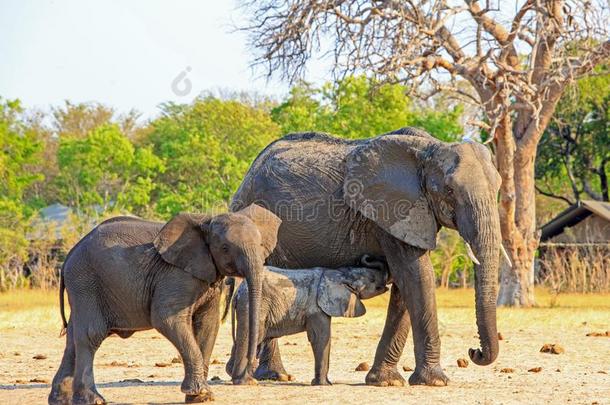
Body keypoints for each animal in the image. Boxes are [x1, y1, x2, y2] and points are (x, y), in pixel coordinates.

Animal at [48, 204, 282, 404]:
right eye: (225, 248)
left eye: (262, 245)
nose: (250, 375)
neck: (206, 222)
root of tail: (70, 254)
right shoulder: (175, 274)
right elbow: (166, 319)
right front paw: (201, 393)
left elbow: (208, 325)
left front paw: (200, 397)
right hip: (86, 283)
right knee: (91, 335)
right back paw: (93, 400)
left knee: (72, 339)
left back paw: (60, 400)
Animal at [226, 256, 388, 386]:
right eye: (372, 279)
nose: (366, 256)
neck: (339, 274)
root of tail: (238, 292)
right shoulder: (316, 307)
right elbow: (320, 338)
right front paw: (324, 385)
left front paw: (322, 383)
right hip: (254, 306)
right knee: (251, 337)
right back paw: (245, 382)